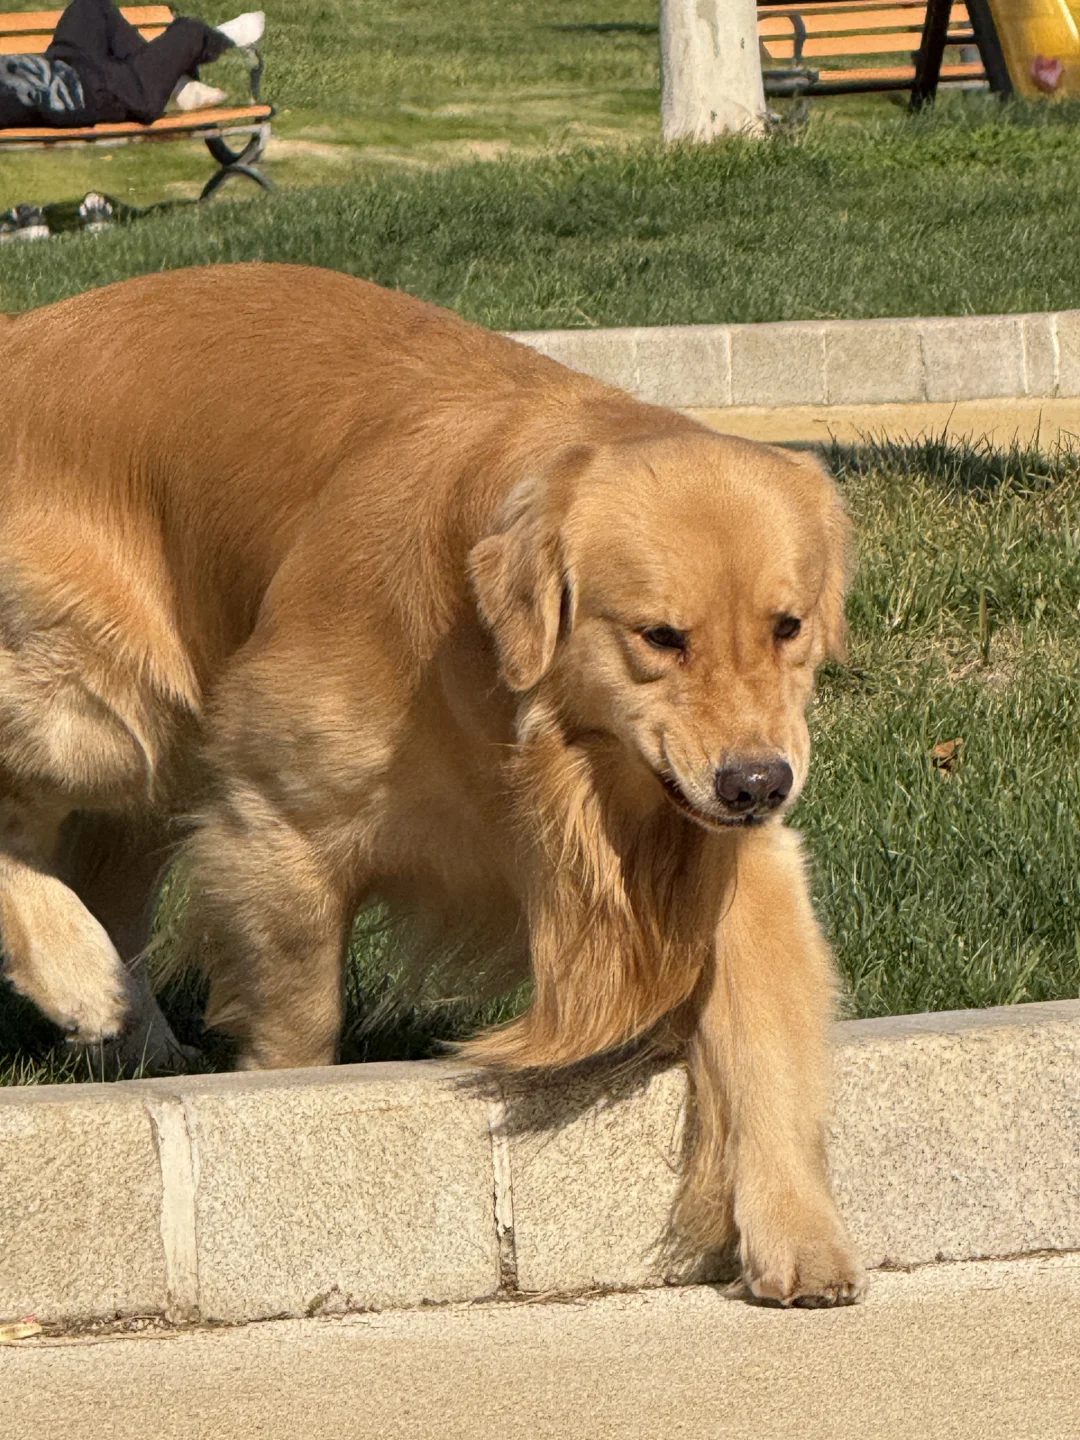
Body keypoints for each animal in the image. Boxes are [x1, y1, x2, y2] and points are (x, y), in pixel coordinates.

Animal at [0, 262, 864, 1307]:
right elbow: (302, 1021)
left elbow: (769, 1044)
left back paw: (131, 1029)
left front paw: (800, 1238)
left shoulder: (723, 844)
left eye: (788, 625)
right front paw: (276, 1106)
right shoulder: (275, 819)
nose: (758, 784)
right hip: (112, 703)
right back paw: (78, 973)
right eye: (660, 637)